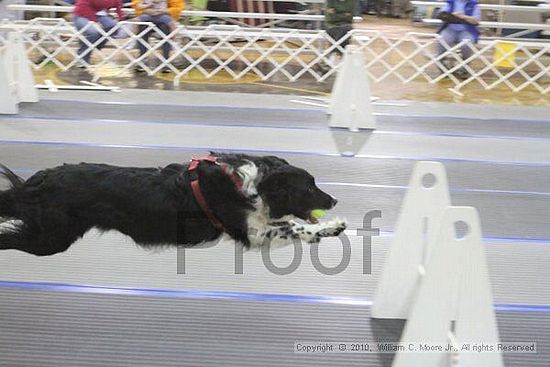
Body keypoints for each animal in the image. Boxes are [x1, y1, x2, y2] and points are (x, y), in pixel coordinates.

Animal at [0, 152, 344, 256]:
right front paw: (332, 227)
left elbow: (290, 223)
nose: (334, 200)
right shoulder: (250, 232)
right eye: (309, 187)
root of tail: (42, 179)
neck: (254, 184)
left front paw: (332, 228)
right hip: (51, 238)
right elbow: (294, 227)